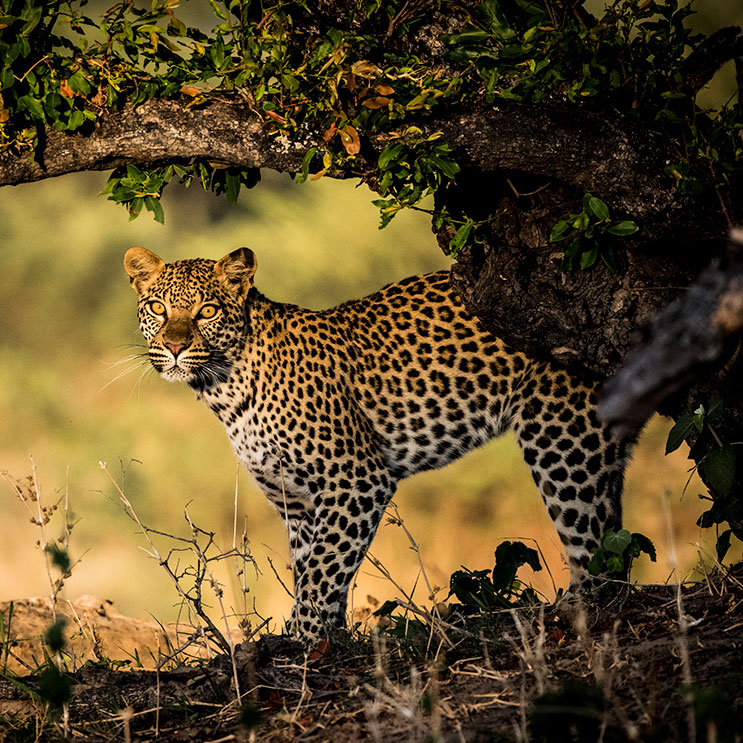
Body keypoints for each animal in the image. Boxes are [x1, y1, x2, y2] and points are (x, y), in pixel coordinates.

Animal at [124, 246, 632, 642]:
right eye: (157, 308)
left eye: (207, 311)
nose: (174, 347)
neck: (224, 388)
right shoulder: (297, 502)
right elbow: (313, 569)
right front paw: (326, 640)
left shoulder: (357, 480)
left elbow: (322, 571)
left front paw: (301, 642)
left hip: (562, 438)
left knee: (595, 554)